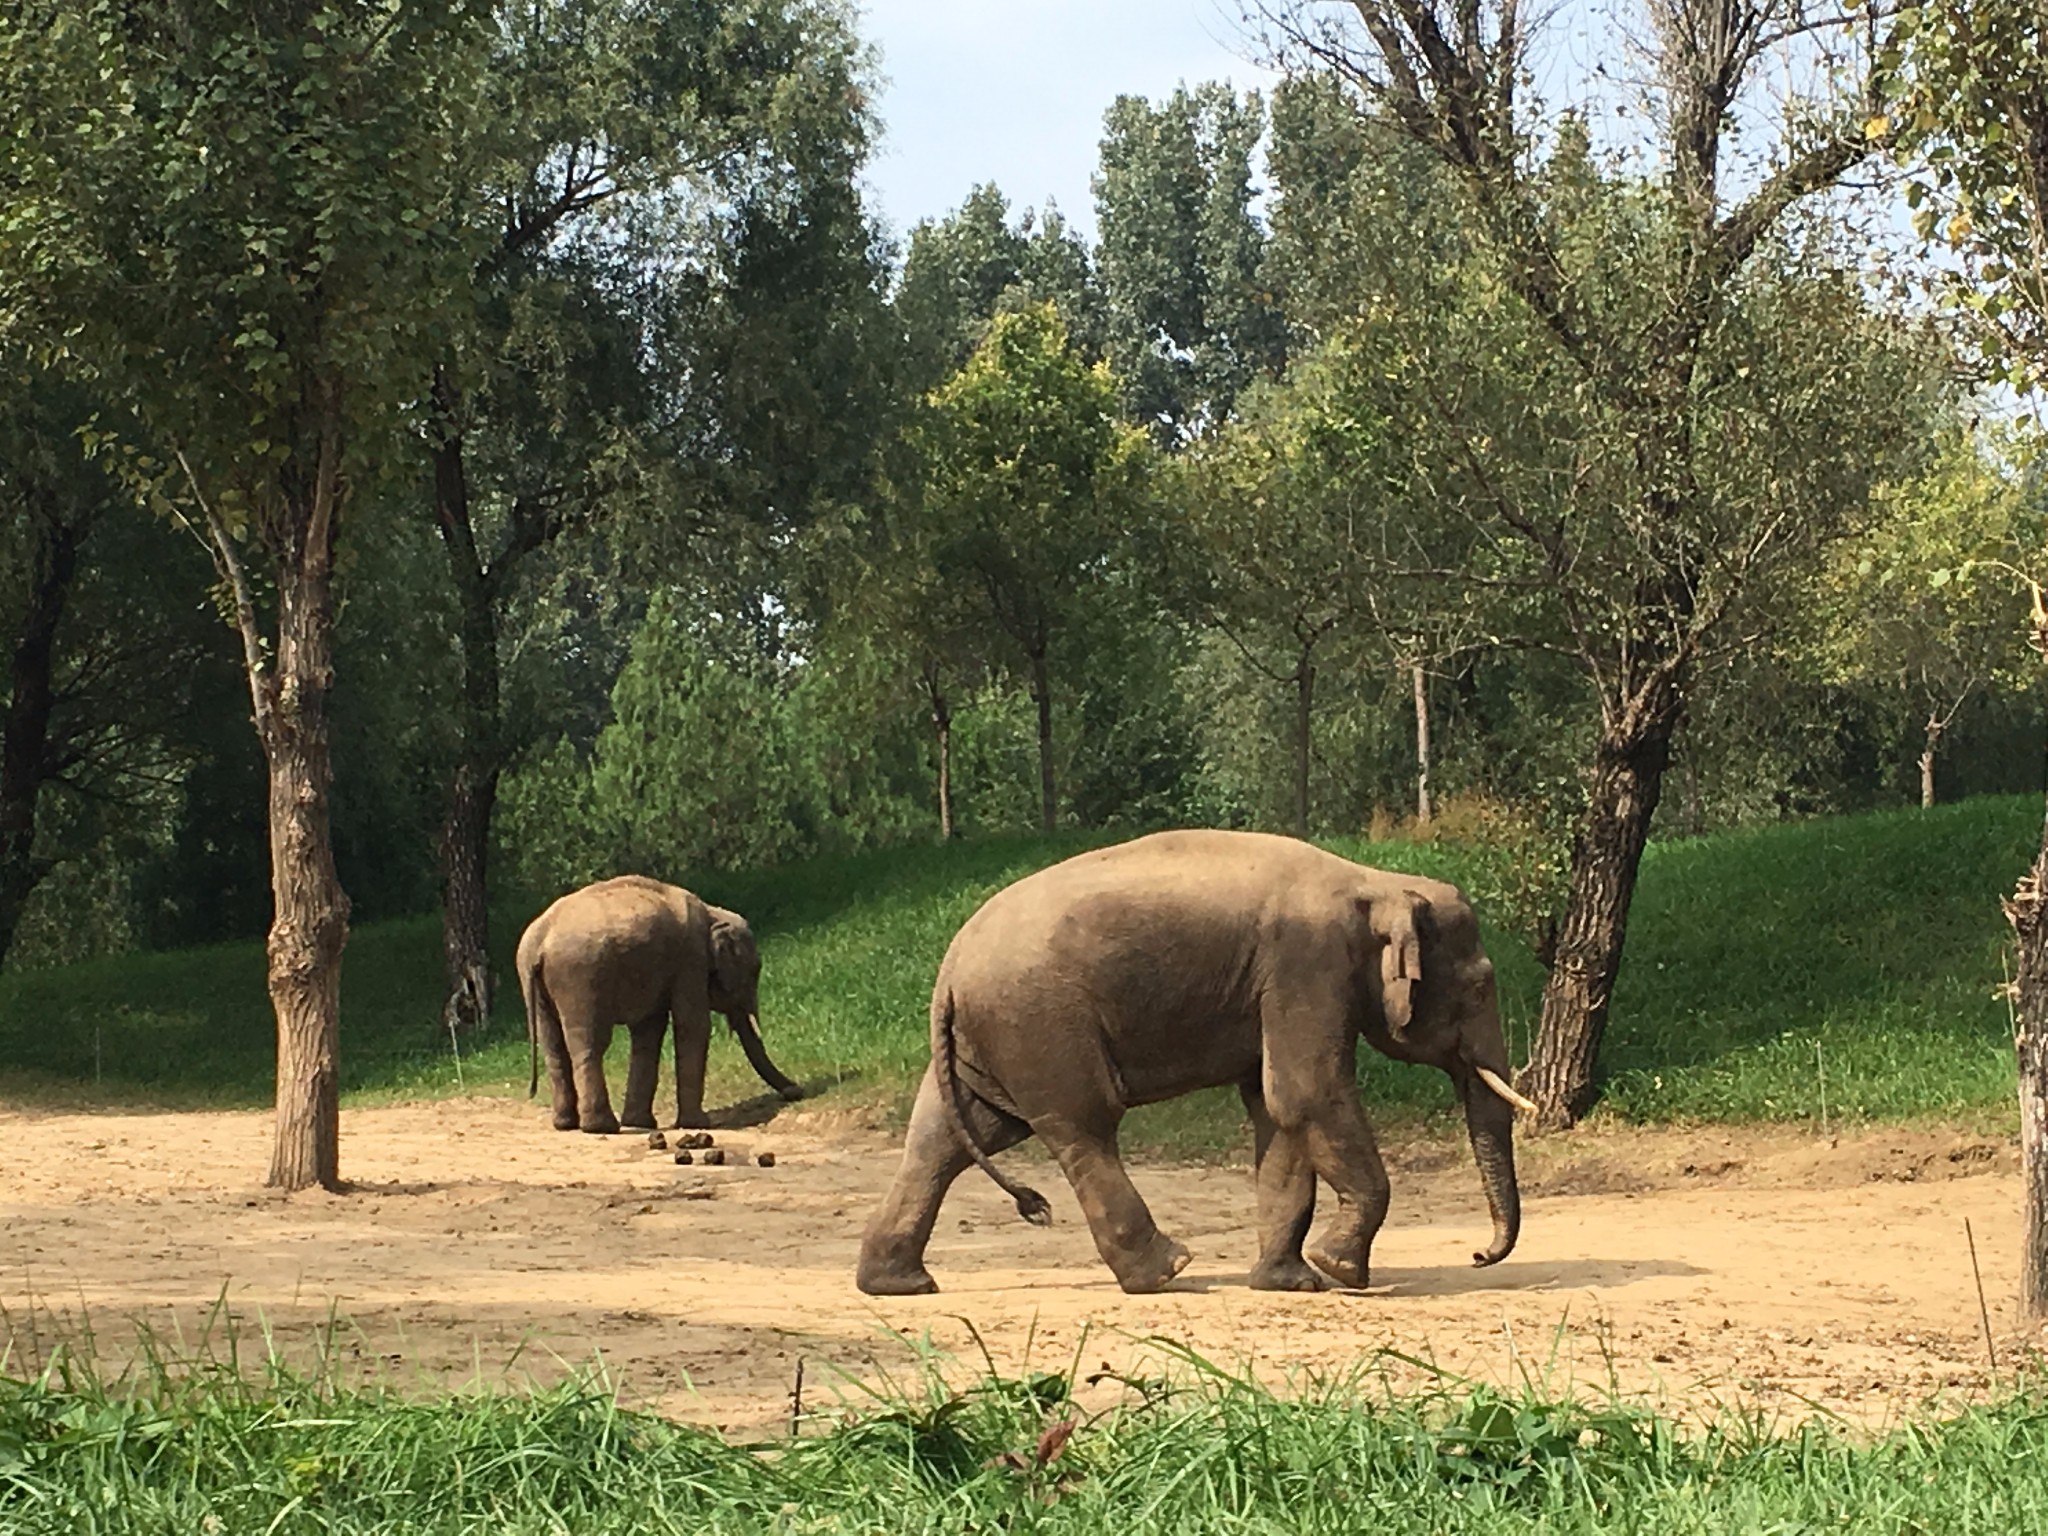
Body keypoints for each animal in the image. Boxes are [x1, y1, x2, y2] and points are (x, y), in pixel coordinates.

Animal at [512, 872, 798, 1138]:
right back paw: (600, 1127)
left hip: (539, 985)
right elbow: (692, 1025)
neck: (712, 912)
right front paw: (698, 1123)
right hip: (581, 977)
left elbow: (649, 1031)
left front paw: (640, 1122)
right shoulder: (690, 959)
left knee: (553, 1046)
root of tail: (539, 939)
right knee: (590, 1044)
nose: (795, 1090)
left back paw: (565, 1125)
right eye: (755, 970)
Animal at [851, 831, 1540, 1302]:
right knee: (1082, 1126)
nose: (1478, 1255)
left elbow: (1276, 1113)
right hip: (1040, 1026)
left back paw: (899, 1284)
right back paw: (1166, 1270)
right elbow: (1307, 1095)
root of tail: (949, 968)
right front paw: (1342, 1272)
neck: (1376, 883)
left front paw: (1291, 1282)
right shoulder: (1309, 965)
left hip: (987, 1042)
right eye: (1480, 987)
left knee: (950, 1137)